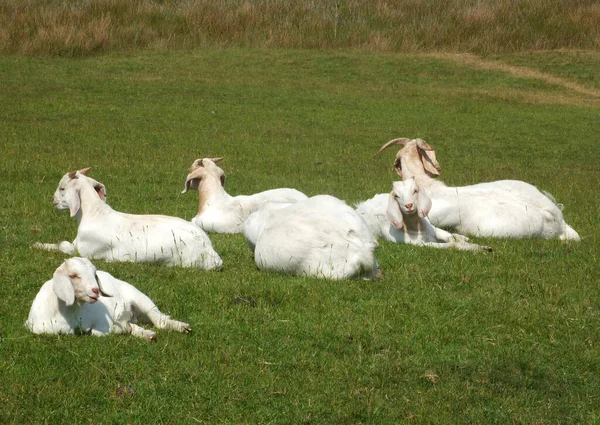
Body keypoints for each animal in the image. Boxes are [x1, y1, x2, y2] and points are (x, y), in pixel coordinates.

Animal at [25, 255, 190, 342]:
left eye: (94, 274)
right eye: (73, 275)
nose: (95, 291)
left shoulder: (102, 321)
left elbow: (97, 331)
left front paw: (120, 329)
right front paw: (124, 329)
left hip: (141, 298)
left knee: (160, 320)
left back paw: (182, 327)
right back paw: (148, 334)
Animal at [32, 168, 223, 268]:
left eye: (62, 188)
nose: (53, 201)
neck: (95, 214)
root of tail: (210, 250)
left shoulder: (84, 251)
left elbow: (62, 245)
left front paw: (37, 245)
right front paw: (39, 244)